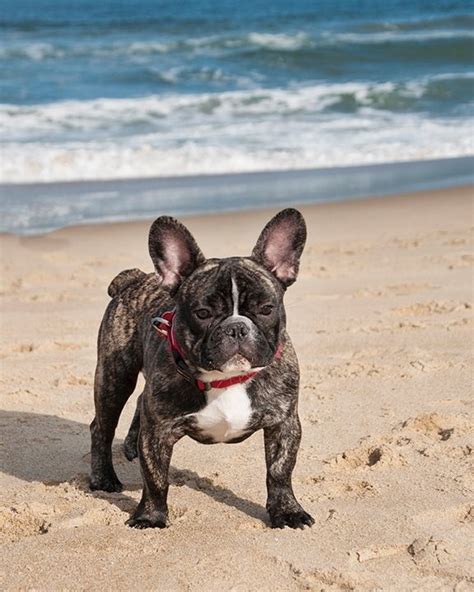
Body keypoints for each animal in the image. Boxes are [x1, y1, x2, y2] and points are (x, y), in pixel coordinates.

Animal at [91, 207, 314, 528]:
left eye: (266, 309)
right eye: (203, 313)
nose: (236, 328)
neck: (227, 380)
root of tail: (135, 279)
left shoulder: (284, 423)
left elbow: (280, 470)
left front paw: (287, 511)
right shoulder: (158, 430)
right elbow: (155, 478)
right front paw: (150, 516)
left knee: (138, 403)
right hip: (115, 376)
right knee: (102, 427)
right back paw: (103, 479)